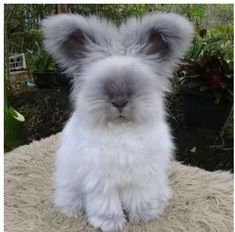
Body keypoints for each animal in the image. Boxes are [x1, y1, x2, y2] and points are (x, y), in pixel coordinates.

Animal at [41, 12, 193, 232]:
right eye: (98, 80)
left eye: (139, 79)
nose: (119, 102)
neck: (121, 129)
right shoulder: (101, 180)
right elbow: (106, 202)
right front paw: (110, 223)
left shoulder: (142, 175)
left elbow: (140, 197)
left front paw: (143, 217)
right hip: (68, 182)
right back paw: (72, 210)